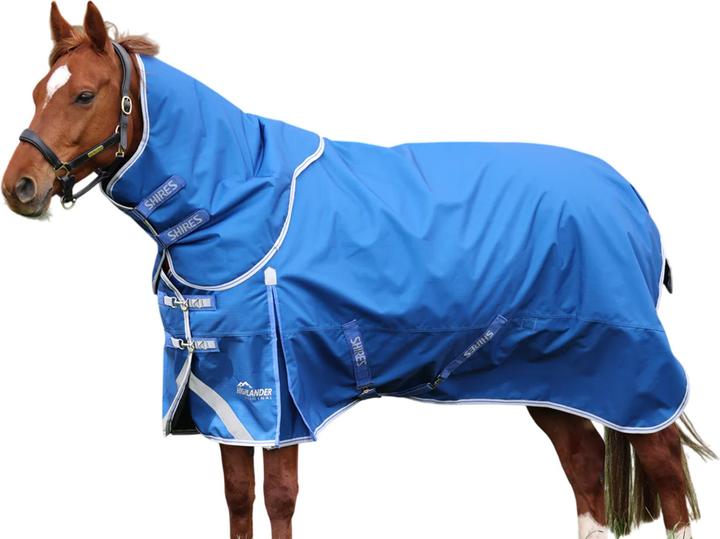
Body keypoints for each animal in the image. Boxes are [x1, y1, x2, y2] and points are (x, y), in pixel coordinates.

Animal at [2, 3, 715, 538]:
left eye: (84, 94)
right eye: (37, 92)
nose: (20, 187)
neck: (237, 196)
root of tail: (629, 194)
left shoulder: (279, 389)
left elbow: (279, 497)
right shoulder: (222, 386)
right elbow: (236, 498)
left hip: (627, 364)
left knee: (664, 467)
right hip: (548, 371)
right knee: (584, 465)